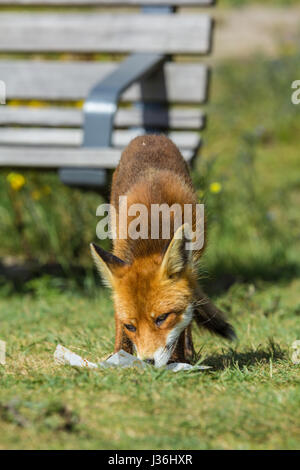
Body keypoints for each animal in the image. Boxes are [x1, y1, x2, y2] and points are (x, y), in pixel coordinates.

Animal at [90, 134, 236, 366]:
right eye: (131, 326)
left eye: (161, 318)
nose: (148, 362)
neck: (152, 238)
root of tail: (149, 136)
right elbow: (118, 321)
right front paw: (118, 355)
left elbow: (182, 327)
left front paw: (178, 359)